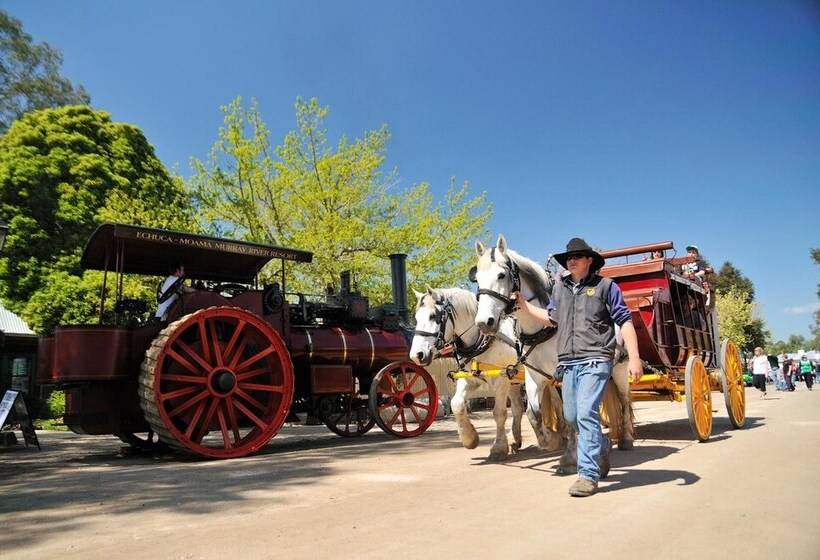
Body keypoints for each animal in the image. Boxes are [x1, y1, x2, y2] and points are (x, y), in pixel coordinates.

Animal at [410, 286, 524, 462]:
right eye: (416, 318)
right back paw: (515, 439)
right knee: (518, 407)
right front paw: (469, 438)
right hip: (515, 380)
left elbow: (499, 413)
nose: (416, 355)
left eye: (433, 316)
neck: (483, 340)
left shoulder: (502, 379)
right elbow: (456, 404)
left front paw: (498, 448)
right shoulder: (469, 378)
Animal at [470, 236, 636, 472]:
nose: (485, 322)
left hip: (621, 369)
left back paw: (626, 438)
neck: (541, 329)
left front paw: (569, 455)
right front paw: (552, 441)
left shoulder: (566, 374)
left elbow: (568, 413)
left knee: (624, 399)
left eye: (501, 275)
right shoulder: (535, 377)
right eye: (477, 280)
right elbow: (533, 414)